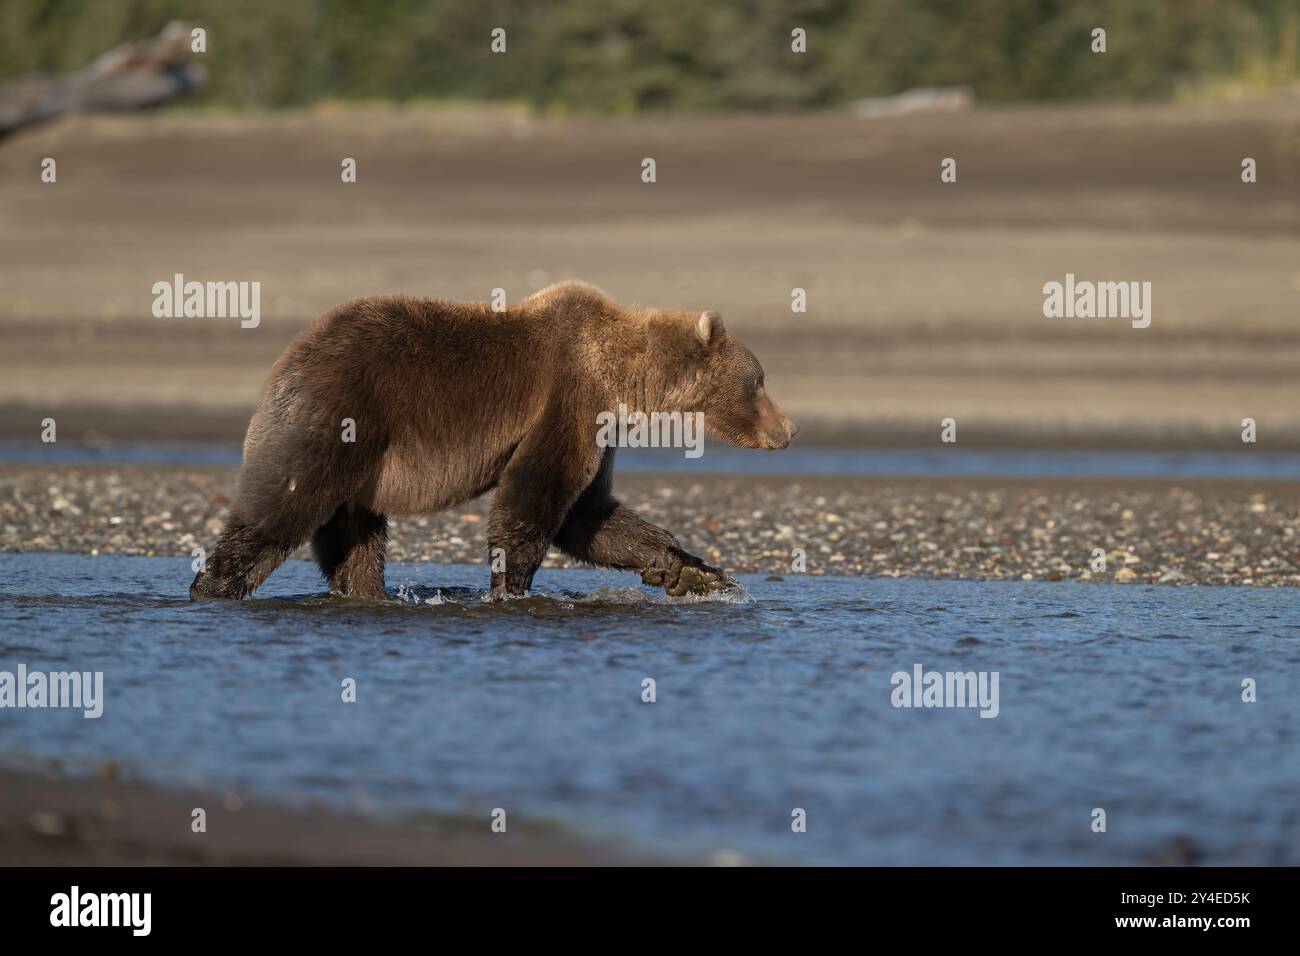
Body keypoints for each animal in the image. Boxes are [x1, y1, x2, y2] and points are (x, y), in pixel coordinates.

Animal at [183, 280, 790, 600]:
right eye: (760, 380)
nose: (788, 429)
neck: (625, 378)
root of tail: (286, 358)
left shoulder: (600, 424)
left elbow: (590, 515)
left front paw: (690, 568)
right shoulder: (568, 395)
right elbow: (536, 495)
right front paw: (510, 587)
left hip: (359, 460)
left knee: (355, 537)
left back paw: (364, 591)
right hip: (338, 413)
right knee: (285, 505)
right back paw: (212, 586)